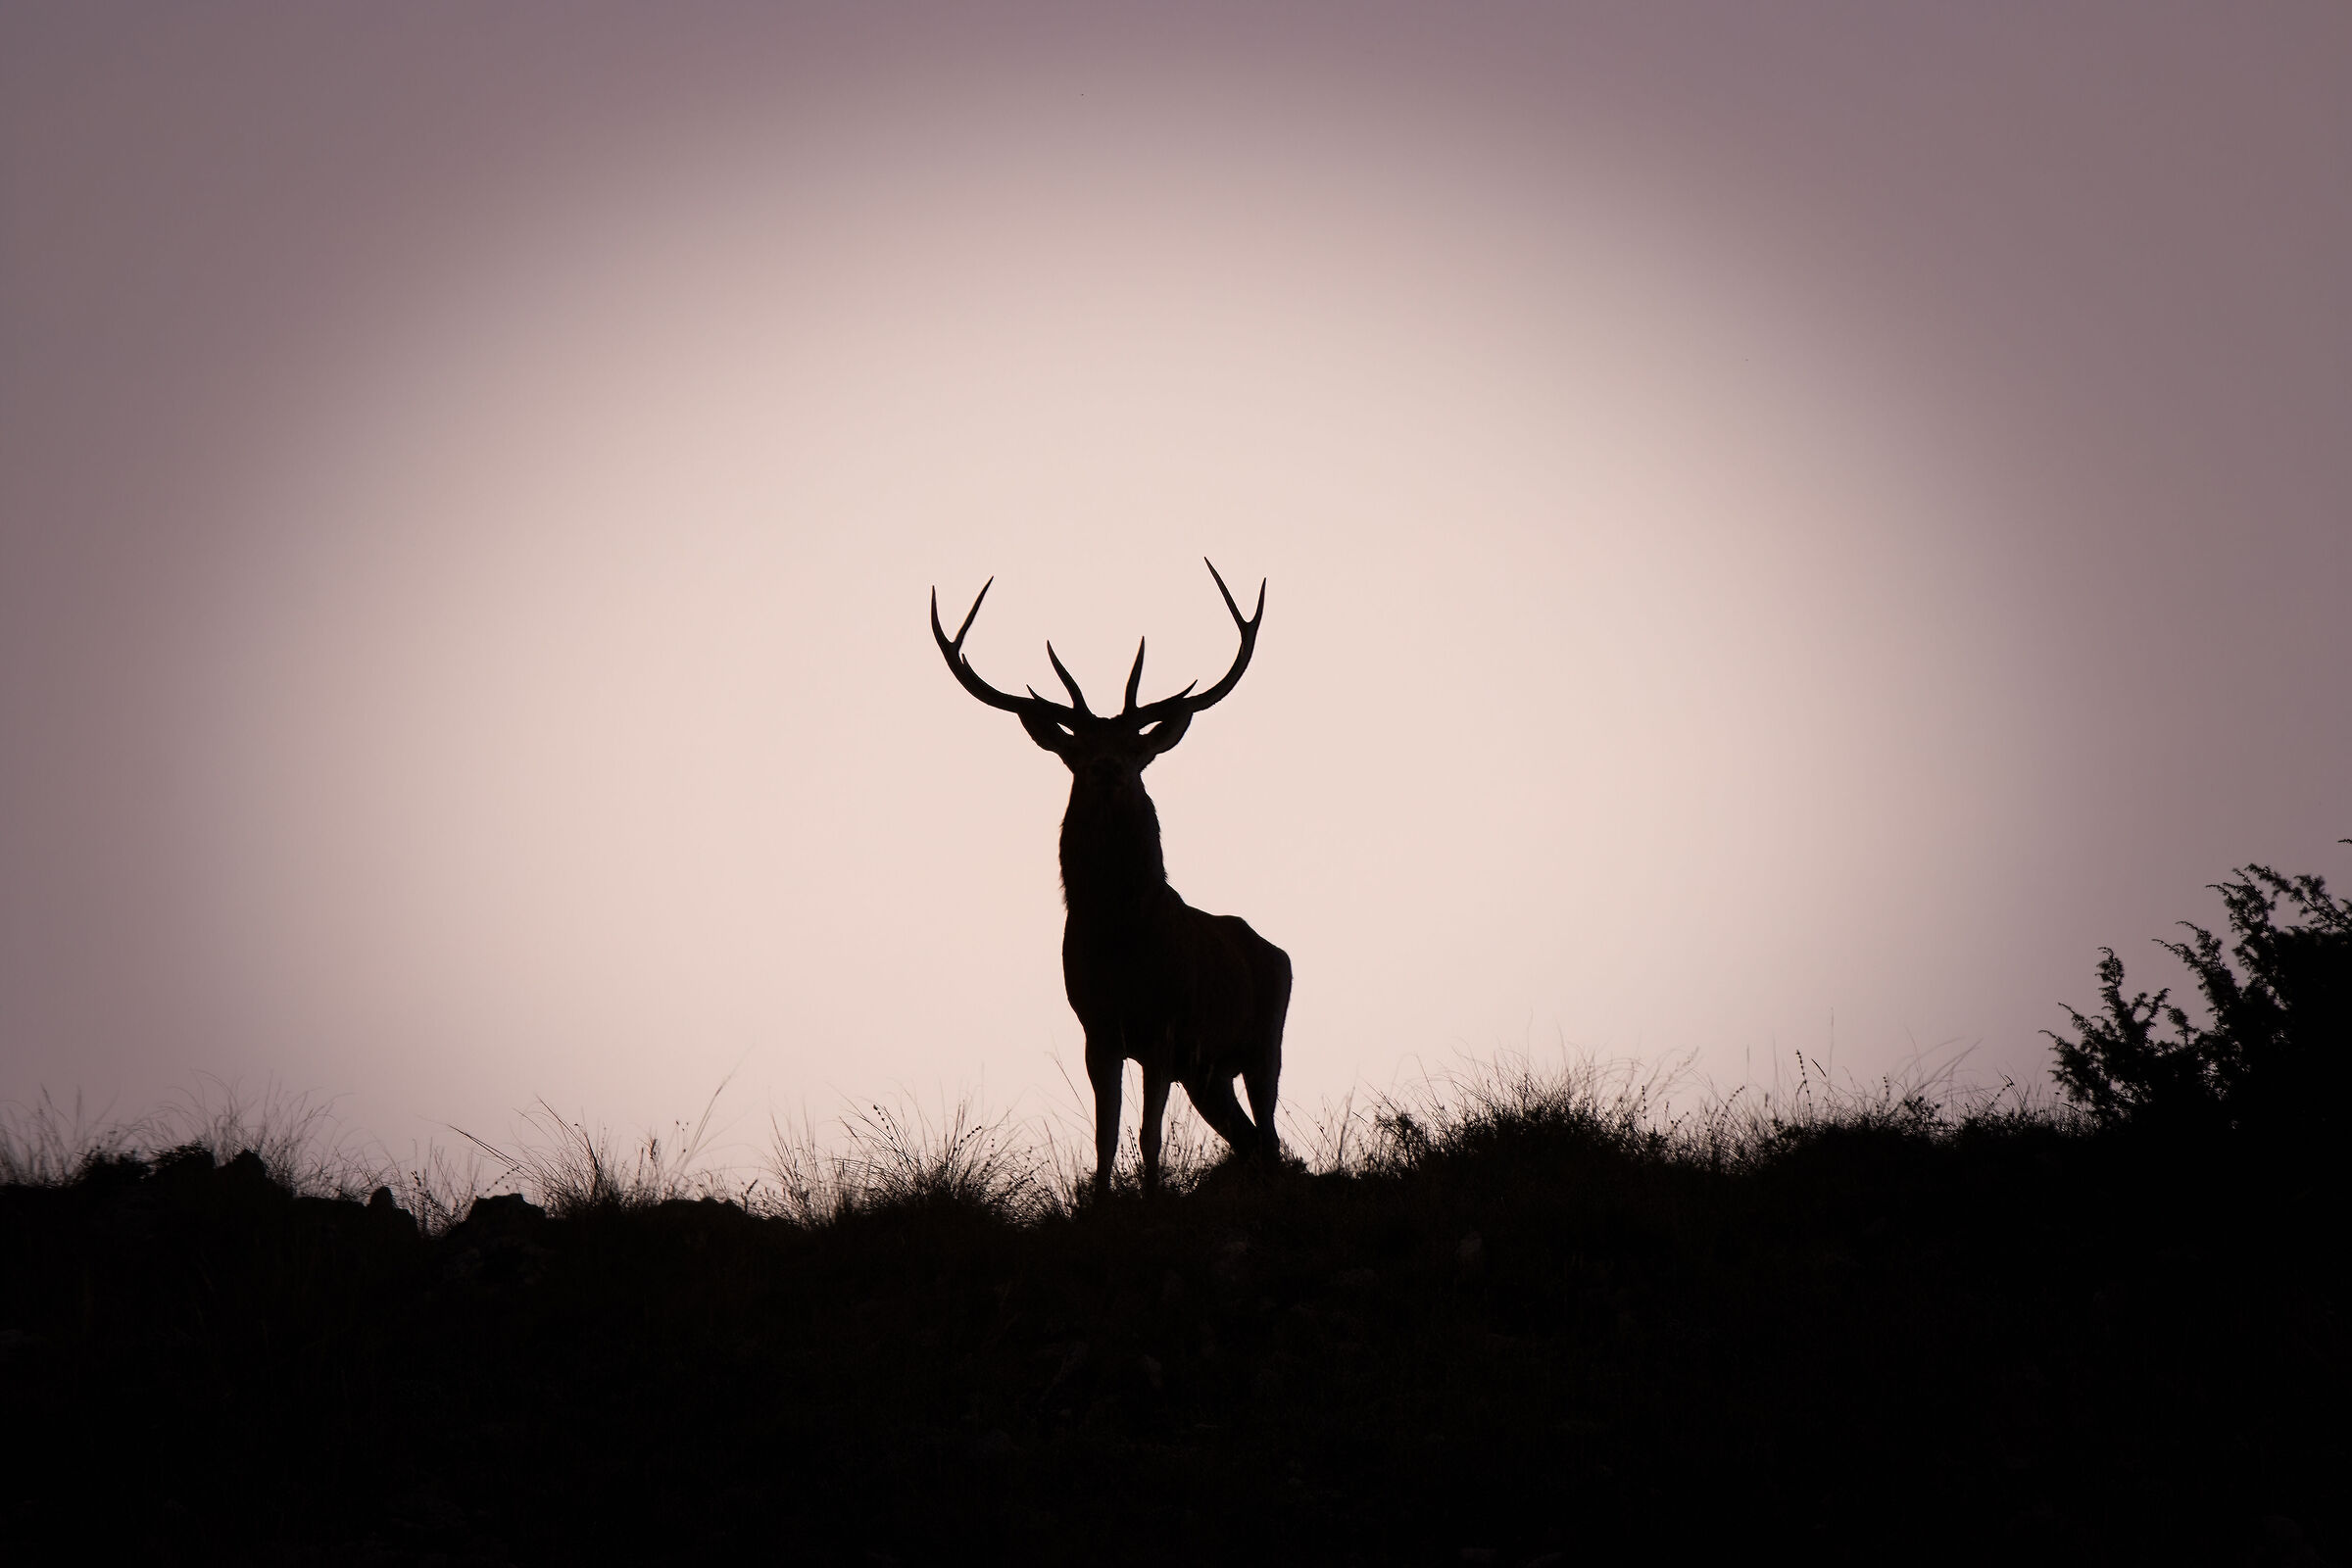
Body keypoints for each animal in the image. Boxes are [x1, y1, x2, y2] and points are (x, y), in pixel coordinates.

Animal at [931, 559, 1292, 1196]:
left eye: (1135, 746)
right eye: (1077, 749)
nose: (1106, 768)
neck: (1119, 936)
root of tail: (1277, 951)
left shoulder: (1164, 1030)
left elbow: (1148, 1136)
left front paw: (1151, 1199)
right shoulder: (1097, 1029)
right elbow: (1104, 1135)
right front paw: (1100, 1201)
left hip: (1264, 1041)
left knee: (1269, 1136)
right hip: (1208, 1073)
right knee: (1248, 1139)